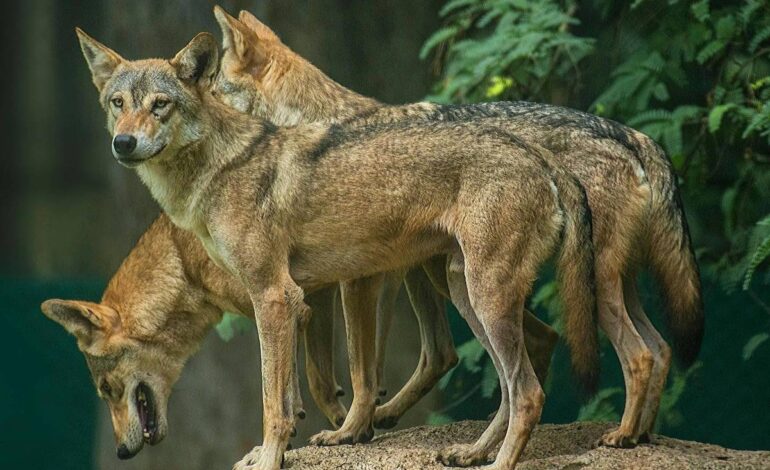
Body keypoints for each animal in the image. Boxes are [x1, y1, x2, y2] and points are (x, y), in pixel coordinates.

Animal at [76, 28, 598, 470]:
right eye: (118, 103)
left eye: (160, 105)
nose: (124, 142)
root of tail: (537, 154)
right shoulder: (297, 302)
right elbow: (296, 396)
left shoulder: (276, 297)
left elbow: (276, 403)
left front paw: (273, 458)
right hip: (463, 293)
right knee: (509, 386)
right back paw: (471, 453)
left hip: (480, 297)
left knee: (527, 393)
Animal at [214, 7, 704, 459]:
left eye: (211, 89)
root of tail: (633, 136)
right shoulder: (328, 285)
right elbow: (319, 376)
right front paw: (326, 424)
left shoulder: (359, 281)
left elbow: (360, 369)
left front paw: (347, 430)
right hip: (473, 279)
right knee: (656, 348)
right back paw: (637, 435)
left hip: (564, 287)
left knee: (635, 354)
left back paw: (619, 435)